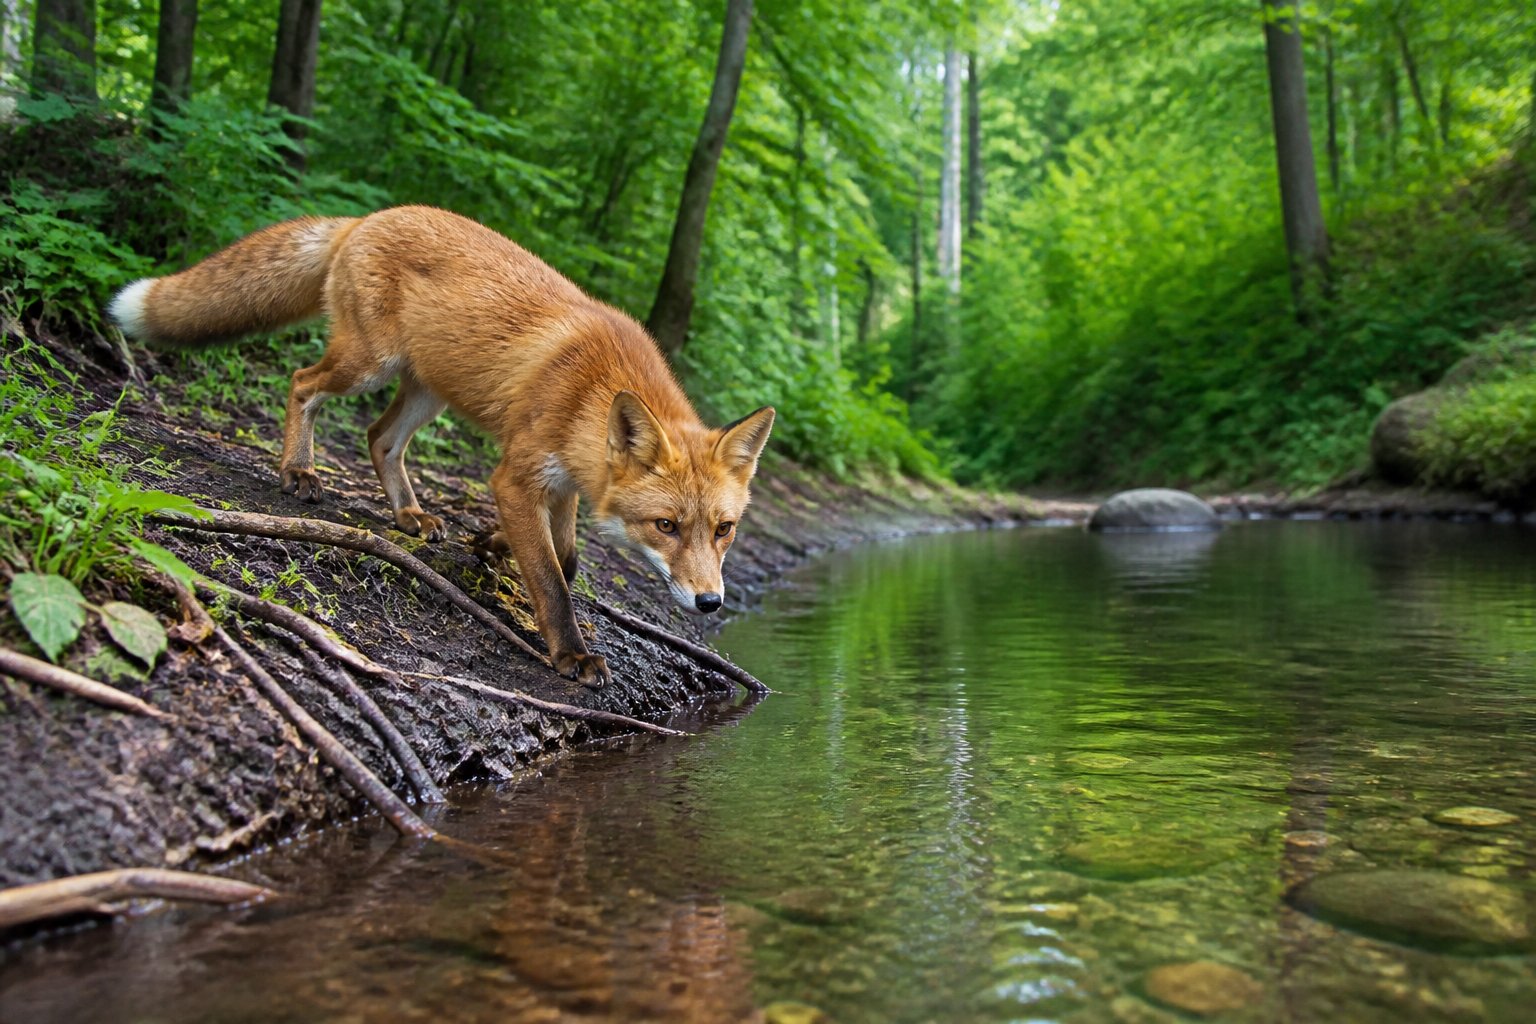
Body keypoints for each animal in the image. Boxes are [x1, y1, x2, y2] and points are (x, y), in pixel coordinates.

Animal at [108, 205, 774, 688]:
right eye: (665, 526)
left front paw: (492, 546)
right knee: (302, 383)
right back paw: (299, 471)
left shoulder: (562, 482)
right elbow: (552, 579)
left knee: (380, 439)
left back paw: (409, 514)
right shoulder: (517, 475)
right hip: (367, 365)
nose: (710, 603)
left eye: (724, 530)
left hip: (426, 391)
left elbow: (565, 558)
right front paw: (570, 653)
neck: (589, 392)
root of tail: (368, 216)